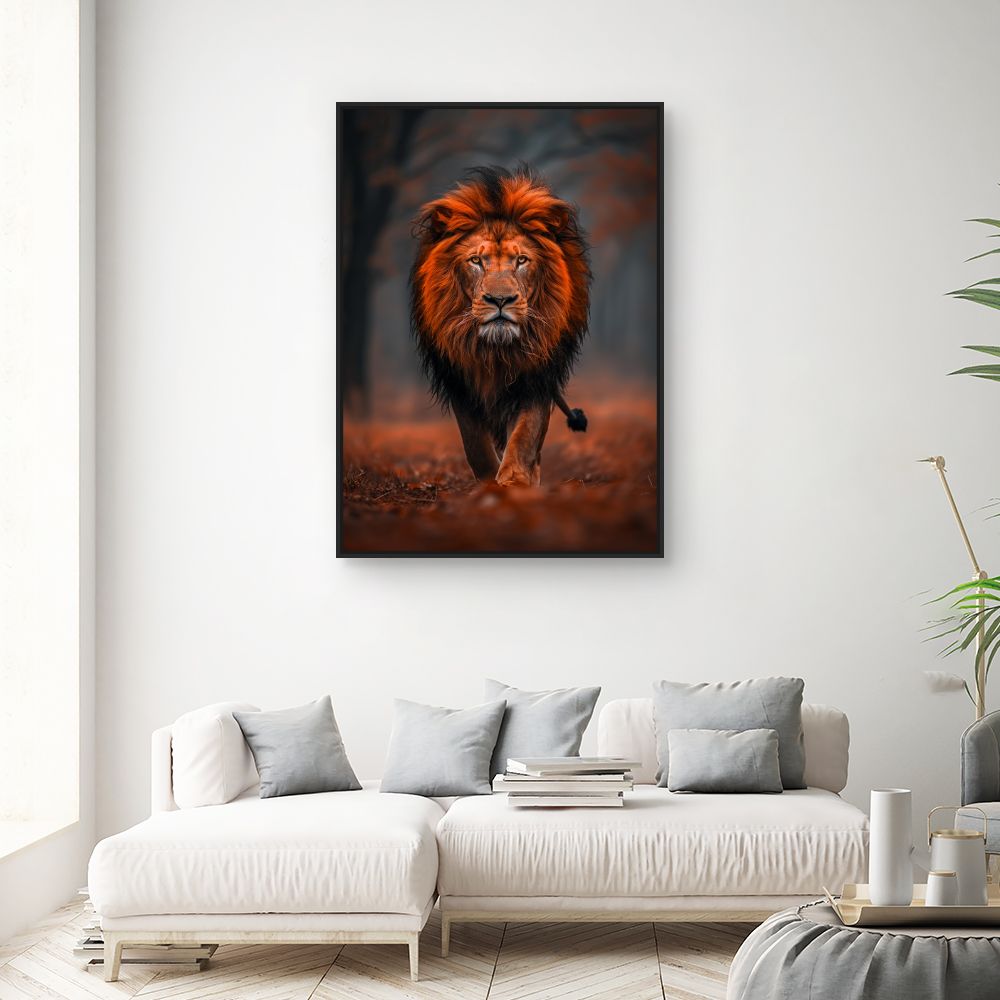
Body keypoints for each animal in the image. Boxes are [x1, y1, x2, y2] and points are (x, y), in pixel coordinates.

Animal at [410, 166, 591, 487]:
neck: (495, 352)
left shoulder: (536, 376)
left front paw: (515, 482)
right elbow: (475, 444)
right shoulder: (460, 380)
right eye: (475, 260)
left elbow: (525, 435)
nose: (500, 300)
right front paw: (489, 484)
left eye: (521, 260)